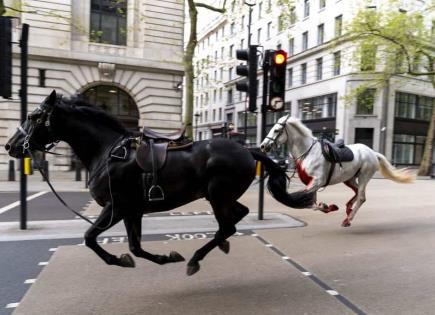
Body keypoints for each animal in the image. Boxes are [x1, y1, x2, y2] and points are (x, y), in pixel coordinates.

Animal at [5, 90, 316, 276]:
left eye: (33, 116)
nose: (11, 145)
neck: (107, 151)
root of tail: (248, 149)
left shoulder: (116, 207)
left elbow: (90, 237)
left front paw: (118, 260)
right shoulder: (132, 210)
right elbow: (135, 247)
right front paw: (162, 257)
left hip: (217, 195)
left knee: (228, 225)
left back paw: (196, 258)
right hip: (221, 196)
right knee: (237, 217)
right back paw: (220, 245)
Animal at [262, 116, 416, 227]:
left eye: (276, 130)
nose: (263, 146)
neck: (308, 152)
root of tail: (372, 152)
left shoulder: (317, 182)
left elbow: (307, 202)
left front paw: (328, 206)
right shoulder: (312, 184)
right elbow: (312, 203)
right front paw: (327, 206)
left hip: (364, 176)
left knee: (361, 197)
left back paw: (348, 219)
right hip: (349, 178)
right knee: (357, 193)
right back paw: (348, 209)